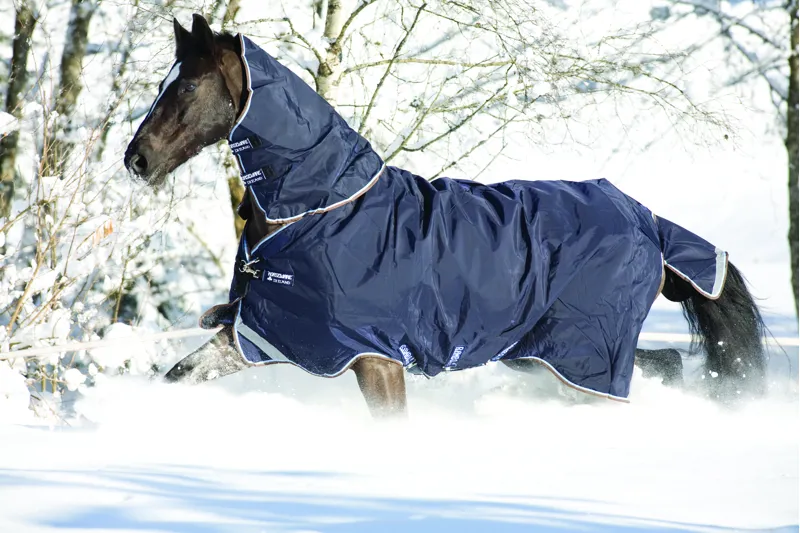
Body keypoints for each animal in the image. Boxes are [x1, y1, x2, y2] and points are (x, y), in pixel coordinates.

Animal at [124, 14, 766, 417]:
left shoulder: (375, 360)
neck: (317, 213)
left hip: (578, 354)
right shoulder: (259, 335)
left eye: (187, 88)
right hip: (543, 356)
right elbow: (179, 376)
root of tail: (647, 222)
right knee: (666, 364)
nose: (137, 159)